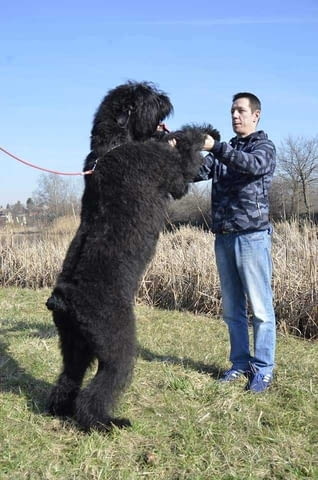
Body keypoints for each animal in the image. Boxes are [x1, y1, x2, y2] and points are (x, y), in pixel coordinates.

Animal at [46, 79, 221, 432]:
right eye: (146, 97)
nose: (165, 99)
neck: (113, 146)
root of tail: (62, 299)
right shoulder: (174, 174)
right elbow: (185, 150)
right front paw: (204, 131)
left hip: (74, 345)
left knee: (69, 378)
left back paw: (59, 409)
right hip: (119, 347)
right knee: (100, 390)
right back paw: (105, 422)